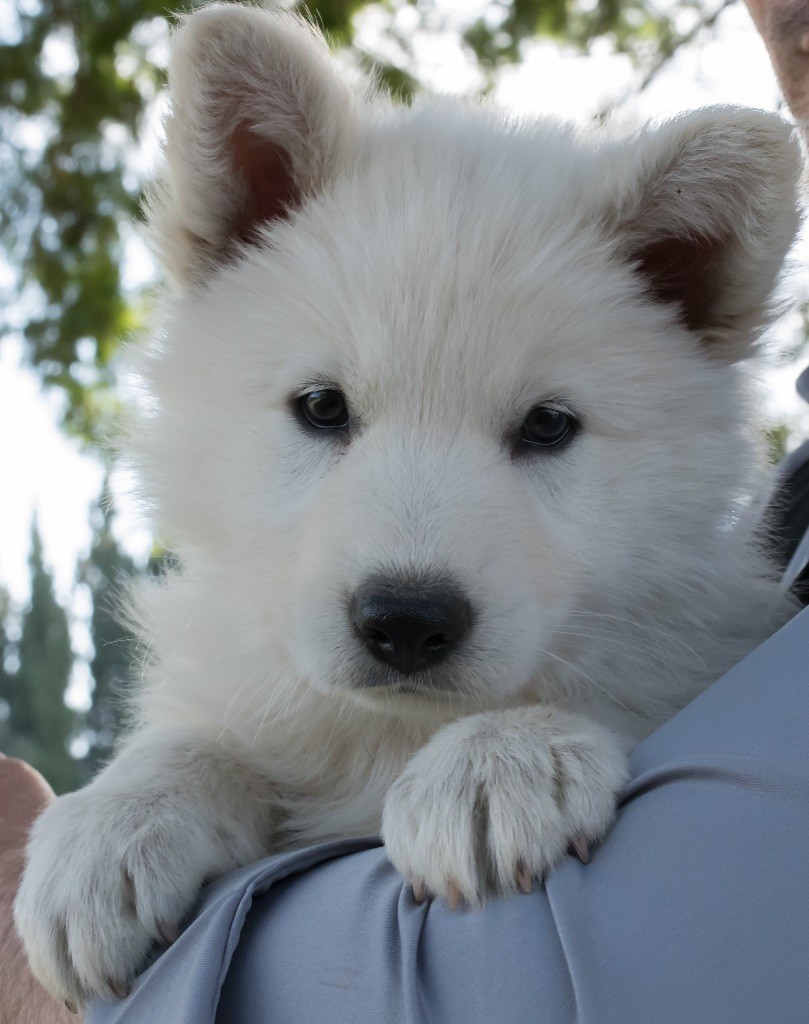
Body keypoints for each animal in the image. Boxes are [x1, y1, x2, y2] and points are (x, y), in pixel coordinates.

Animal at [14, 2, 802, 1007]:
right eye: (321, 407)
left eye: (548, 426)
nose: (407, 621)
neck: (393, 732)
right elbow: (203, 737)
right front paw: (109, 825)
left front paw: (497, 761)